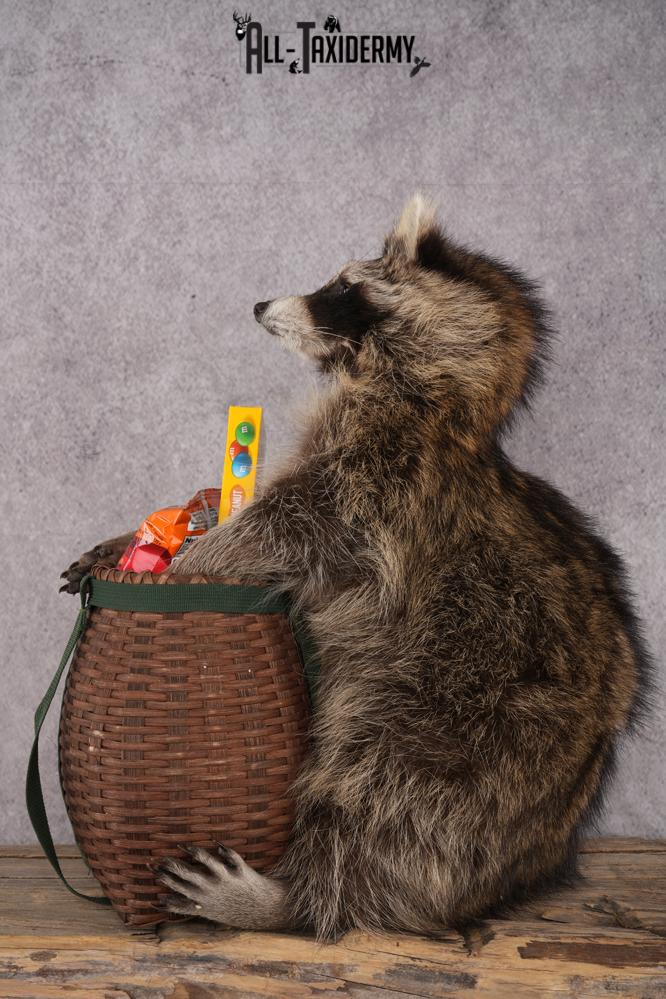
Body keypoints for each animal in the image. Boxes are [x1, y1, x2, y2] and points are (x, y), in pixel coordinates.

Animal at [62, 195, 651, 942]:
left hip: (460, 724)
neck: (437, 396)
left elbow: (281, 531)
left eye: (342, 287)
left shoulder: (377, 482)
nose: (259, 304)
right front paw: (133, 542)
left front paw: (193, 556)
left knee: (382, 792)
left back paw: (298, 896)